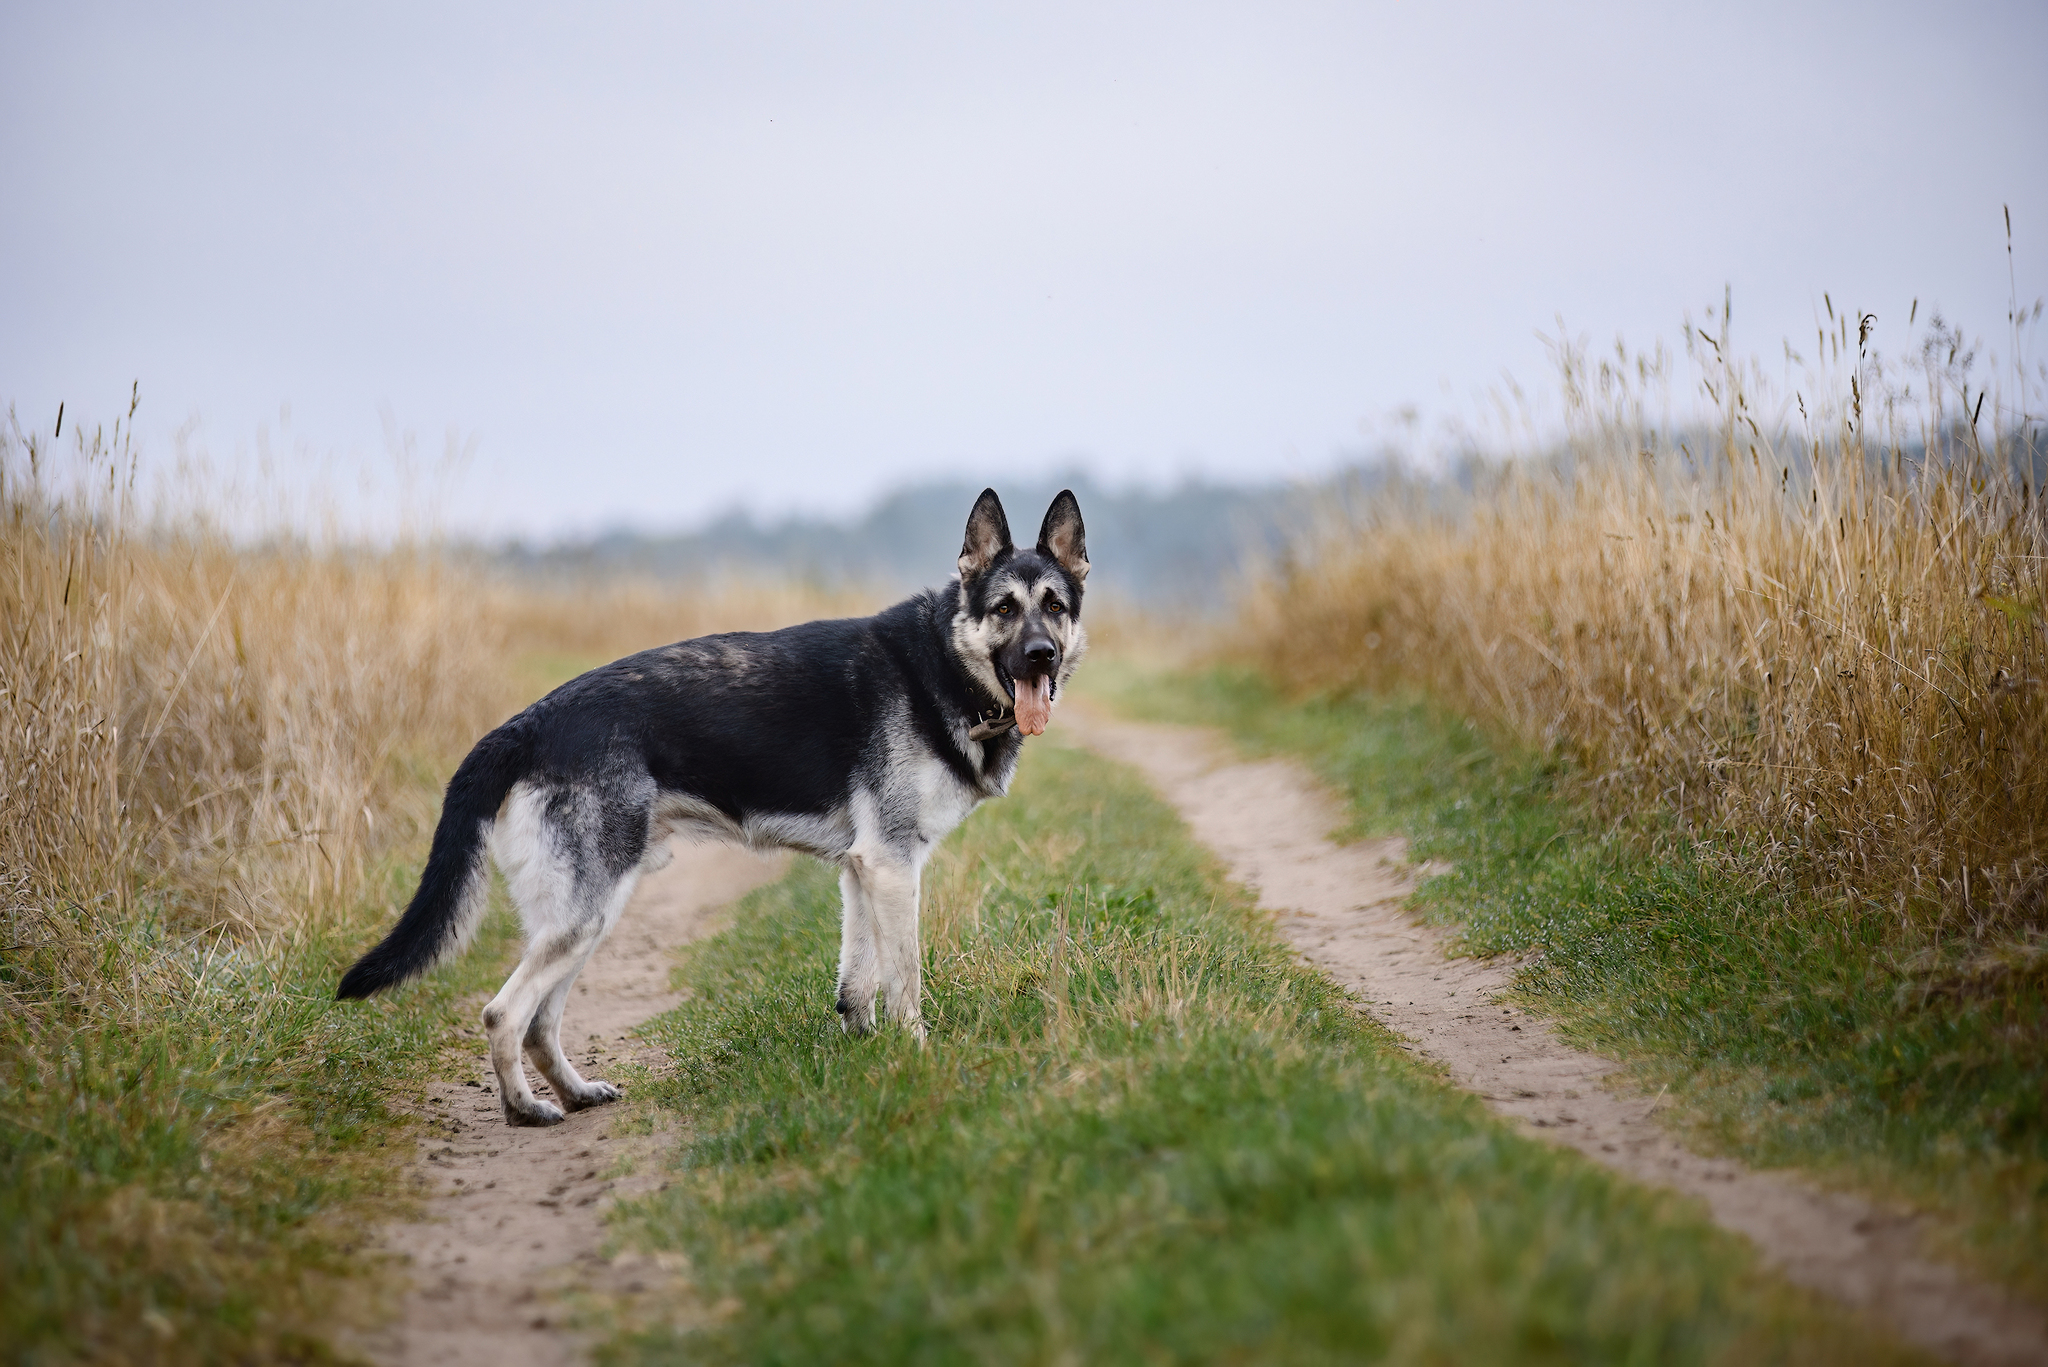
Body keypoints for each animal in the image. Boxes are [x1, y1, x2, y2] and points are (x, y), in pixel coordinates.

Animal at [335, 485, 1089, 1131]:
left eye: (1055, 605)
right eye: (1003, 610)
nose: (1040, 657)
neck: (939, 666)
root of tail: (526, 724)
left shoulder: (863, 870)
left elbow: (858, 982)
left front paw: (864, 1052)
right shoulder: (894, 868)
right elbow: (905, 982)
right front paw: (917, 1056)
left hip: (587, 917)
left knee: (542, 1022)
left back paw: (576, 1093)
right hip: (585, 913)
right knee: (503, 1013)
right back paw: (525, 1109)